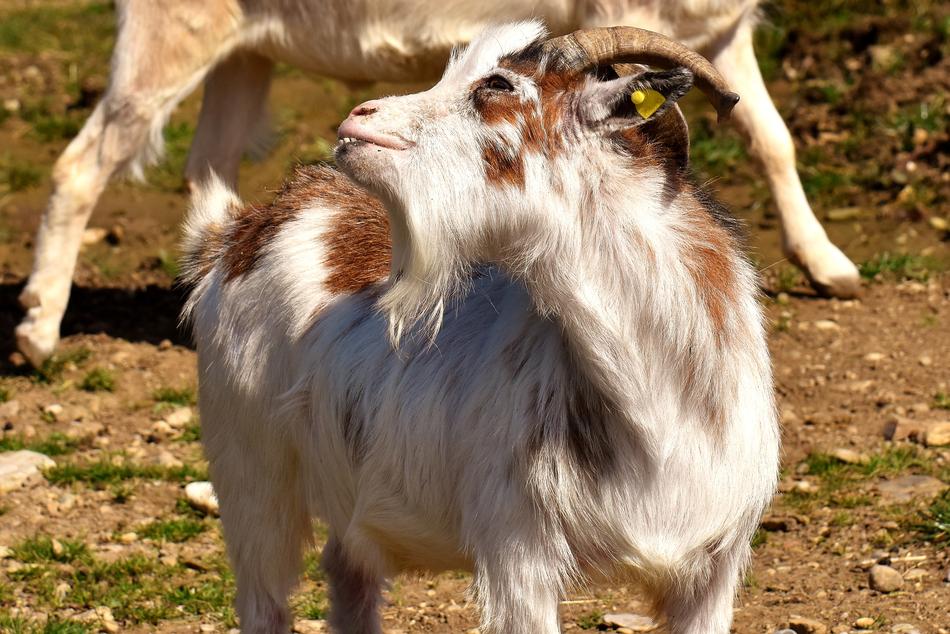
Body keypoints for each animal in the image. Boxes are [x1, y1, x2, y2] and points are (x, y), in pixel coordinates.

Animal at [16, 0, 860, 367]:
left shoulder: (718, 35)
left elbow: (773, 138)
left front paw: (831, 268)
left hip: (242, 54)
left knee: (211, 174)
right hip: (168, 37)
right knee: (82, 163)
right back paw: (36, 334)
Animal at [181, 22, 780, 633]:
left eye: (497, 84)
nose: (358, 118)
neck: (660, 410)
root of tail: (240, 229)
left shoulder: (712, 574)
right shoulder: (518, 557)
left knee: (348, 572)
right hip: (250, 473)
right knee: (264, 597)